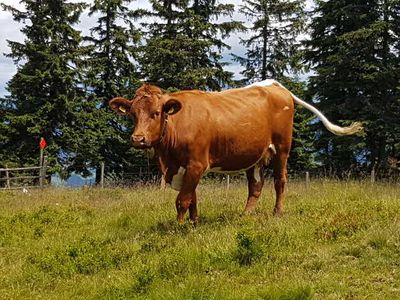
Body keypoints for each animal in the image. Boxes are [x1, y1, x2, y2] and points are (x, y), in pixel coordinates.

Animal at [110, 78, 362, 224]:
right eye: (132, 114)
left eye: (156, 113)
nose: (138, 138)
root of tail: (274, 85)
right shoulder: (185, 168)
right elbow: (192, 199)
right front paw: (194, 224)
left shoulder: (196, 164)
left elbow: (182, 200)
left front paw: (179, 228)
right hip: (256, 155)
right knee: (256, 186)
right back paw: (245, 215)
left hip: (283, 147)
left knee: (280, 181)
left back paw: (277, 212)